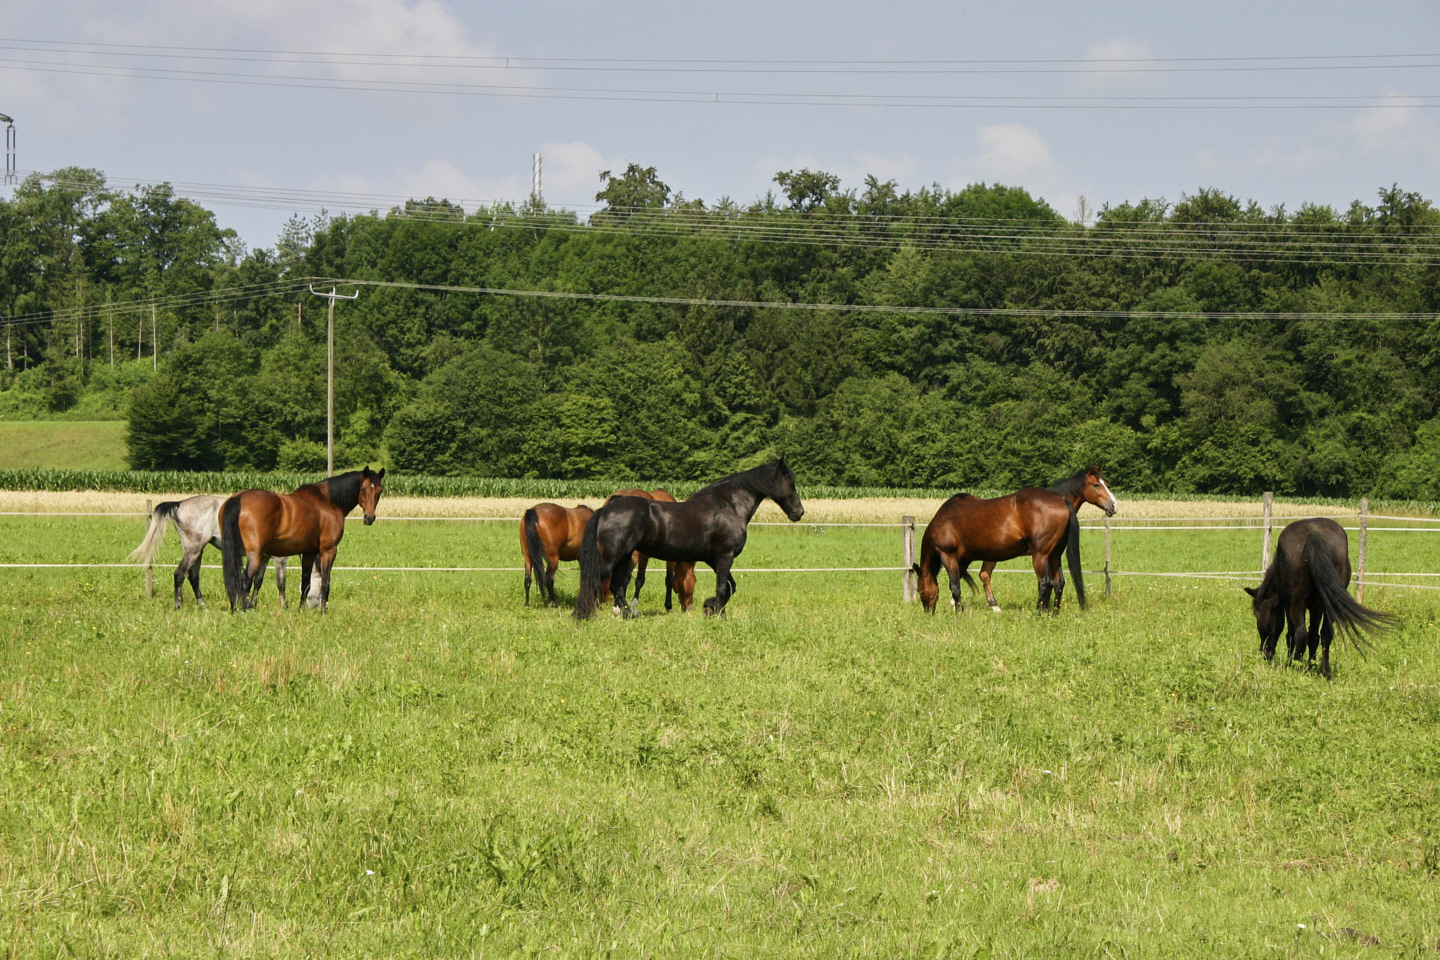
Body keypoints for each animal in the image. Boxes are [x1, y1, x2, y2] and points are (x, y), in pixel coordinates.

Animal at [131, 495, 288, 607]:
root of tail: (180, 503)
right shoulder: (279, 558)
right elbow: (281, 583)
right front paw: (284, 607)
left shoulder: (264, 558)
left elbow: (258, 582)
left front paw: (252, 605)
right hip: (193, 550)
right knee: (179, 574)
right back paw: (178, 605)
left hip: (197, 551)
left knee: (193, 577)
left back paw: (203, 606)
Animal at [218, 466, 383, 616]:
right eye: (363, 489)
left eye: (380, 491)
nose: (369, 518)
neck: (328, 501)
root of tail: (238, 499)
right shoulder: (328, 551)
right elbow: (325, 582)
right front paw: (324, 611)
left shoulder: (309, 552)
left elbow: (306, 583)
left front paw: (300, 610)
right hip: (255, 554)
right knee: (245, 580)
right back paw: (244, 610)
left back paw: (235, 608)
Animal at [573, 460, 806, 624]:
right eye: (790, 483)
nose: (799, 512)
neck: (729, 506)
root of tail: (606, 509)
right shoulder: (725, 556)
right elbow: (722, 587)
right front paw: (718, 614)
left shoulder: (714, 560)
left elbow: (730, 587)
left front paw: (710, 608)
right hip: (612, 557)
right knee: (594, 582)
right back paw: (584, 614)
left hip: (625, 556)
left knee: (617, 586)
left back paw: (628, 614)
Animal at [915, 466, 1117, 616]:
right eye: (1096, 485)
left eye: (918, 590)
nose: (1114, 505)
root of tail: (1061, 500)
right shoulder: (966, 557)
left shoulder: (949, 556)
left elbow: (955, 585)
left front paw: (959, 613)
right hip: (1053, 555)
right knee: (1058, 582)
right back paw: (1053, 613)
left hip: (1040, 555)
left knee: (1045, 583)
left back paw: (1038, 612)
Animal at [1238, 515, 1393, 679]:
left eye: (1257, 613)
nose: (1265, 654)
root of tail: (1314, 536)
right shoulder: (1317, 607)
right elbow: (1314, 637)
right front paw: (1310, 666)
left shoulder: (1288, 605)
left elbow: (1291, 634)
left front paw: (1292, 663)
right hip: (1329, 605)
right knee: (1325, 634)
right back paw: (1325, 672)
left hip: (1297, 605)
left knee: (1300, 634)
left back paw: (1295, 667)